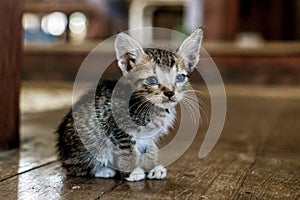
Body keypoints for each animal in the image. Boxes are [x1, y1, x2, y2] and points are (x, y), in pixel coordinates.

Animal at [56, 27, 204, 181]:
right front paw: (132, 171)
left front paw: (151, 168)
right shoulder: (119, 129)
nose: (169, 93)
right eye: (152, 80)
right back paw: (104, 171)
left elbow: (150, 149)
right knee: (78, 167)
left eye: (180, 77)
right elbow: (129, 151)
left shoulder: (149, 137)